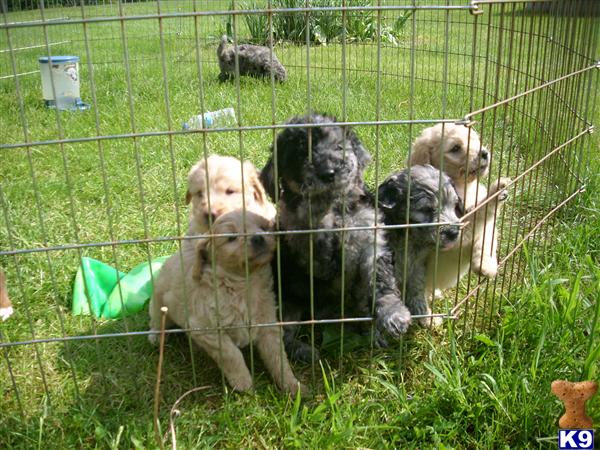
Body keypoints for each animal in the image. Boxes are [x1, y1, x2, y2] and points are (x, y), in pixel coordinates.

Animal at [148, 209, 302, 396]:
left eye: (264, 227)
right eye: (231, 237)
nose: (259, 237)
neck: (242, 283)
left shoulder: (267, 323)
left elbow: (277, 356)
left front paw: (292, 385)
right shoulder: (205, 328)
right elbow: (232, 354)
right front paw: (244, 383)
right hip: (158, 304)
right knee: (156, 322)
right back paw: (155, 336)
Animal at [260, 113, 410, 362]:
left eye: (339, 147)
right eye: (301, 154)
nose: (328, 173)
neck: (336, 206)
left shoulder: (371, 242)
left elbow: (381, 280)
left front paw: (394, 313)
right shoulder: (299, 239)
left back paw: (373, 334)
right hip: (286, 303)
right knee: (281, 336)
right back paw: (304, 352)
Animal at [380, 165, 464, 326]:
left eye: (454, 205)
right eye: (426, 209)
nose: (453, 233)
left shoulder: (418, 266)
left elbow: (417, 290)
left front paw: (425, 316)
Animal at [410, 125, 512, 298]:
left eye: (475, 139)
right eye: (455, 148)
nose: (484, 153)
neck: (464, 188)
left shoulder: (487, 228)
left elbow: (486, 239)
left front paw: (486, 265)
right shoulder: (450, 234)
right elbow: (478, 213)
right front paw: (495, 192)